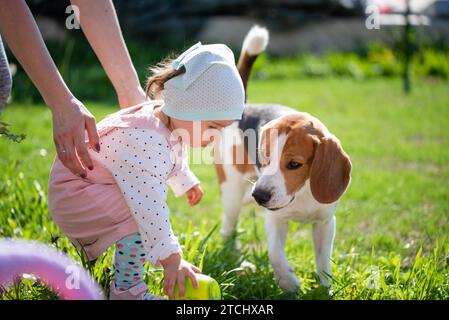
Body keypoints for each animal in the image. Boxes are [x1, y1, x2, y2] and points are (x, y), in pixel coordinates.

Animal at [215, 26, 352, 292]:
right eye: (263, 158)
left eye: (294, 165)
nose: (259, 196)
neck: (302, 192)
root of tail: (246, 107)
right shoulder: (275, 219)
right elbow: (275, 255)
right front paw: (288, 283)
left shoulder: (325, 223)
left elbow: (323, 261)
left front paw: (324, 289)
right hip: (231, 190)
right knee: (228, 226)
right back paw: (233, 254)